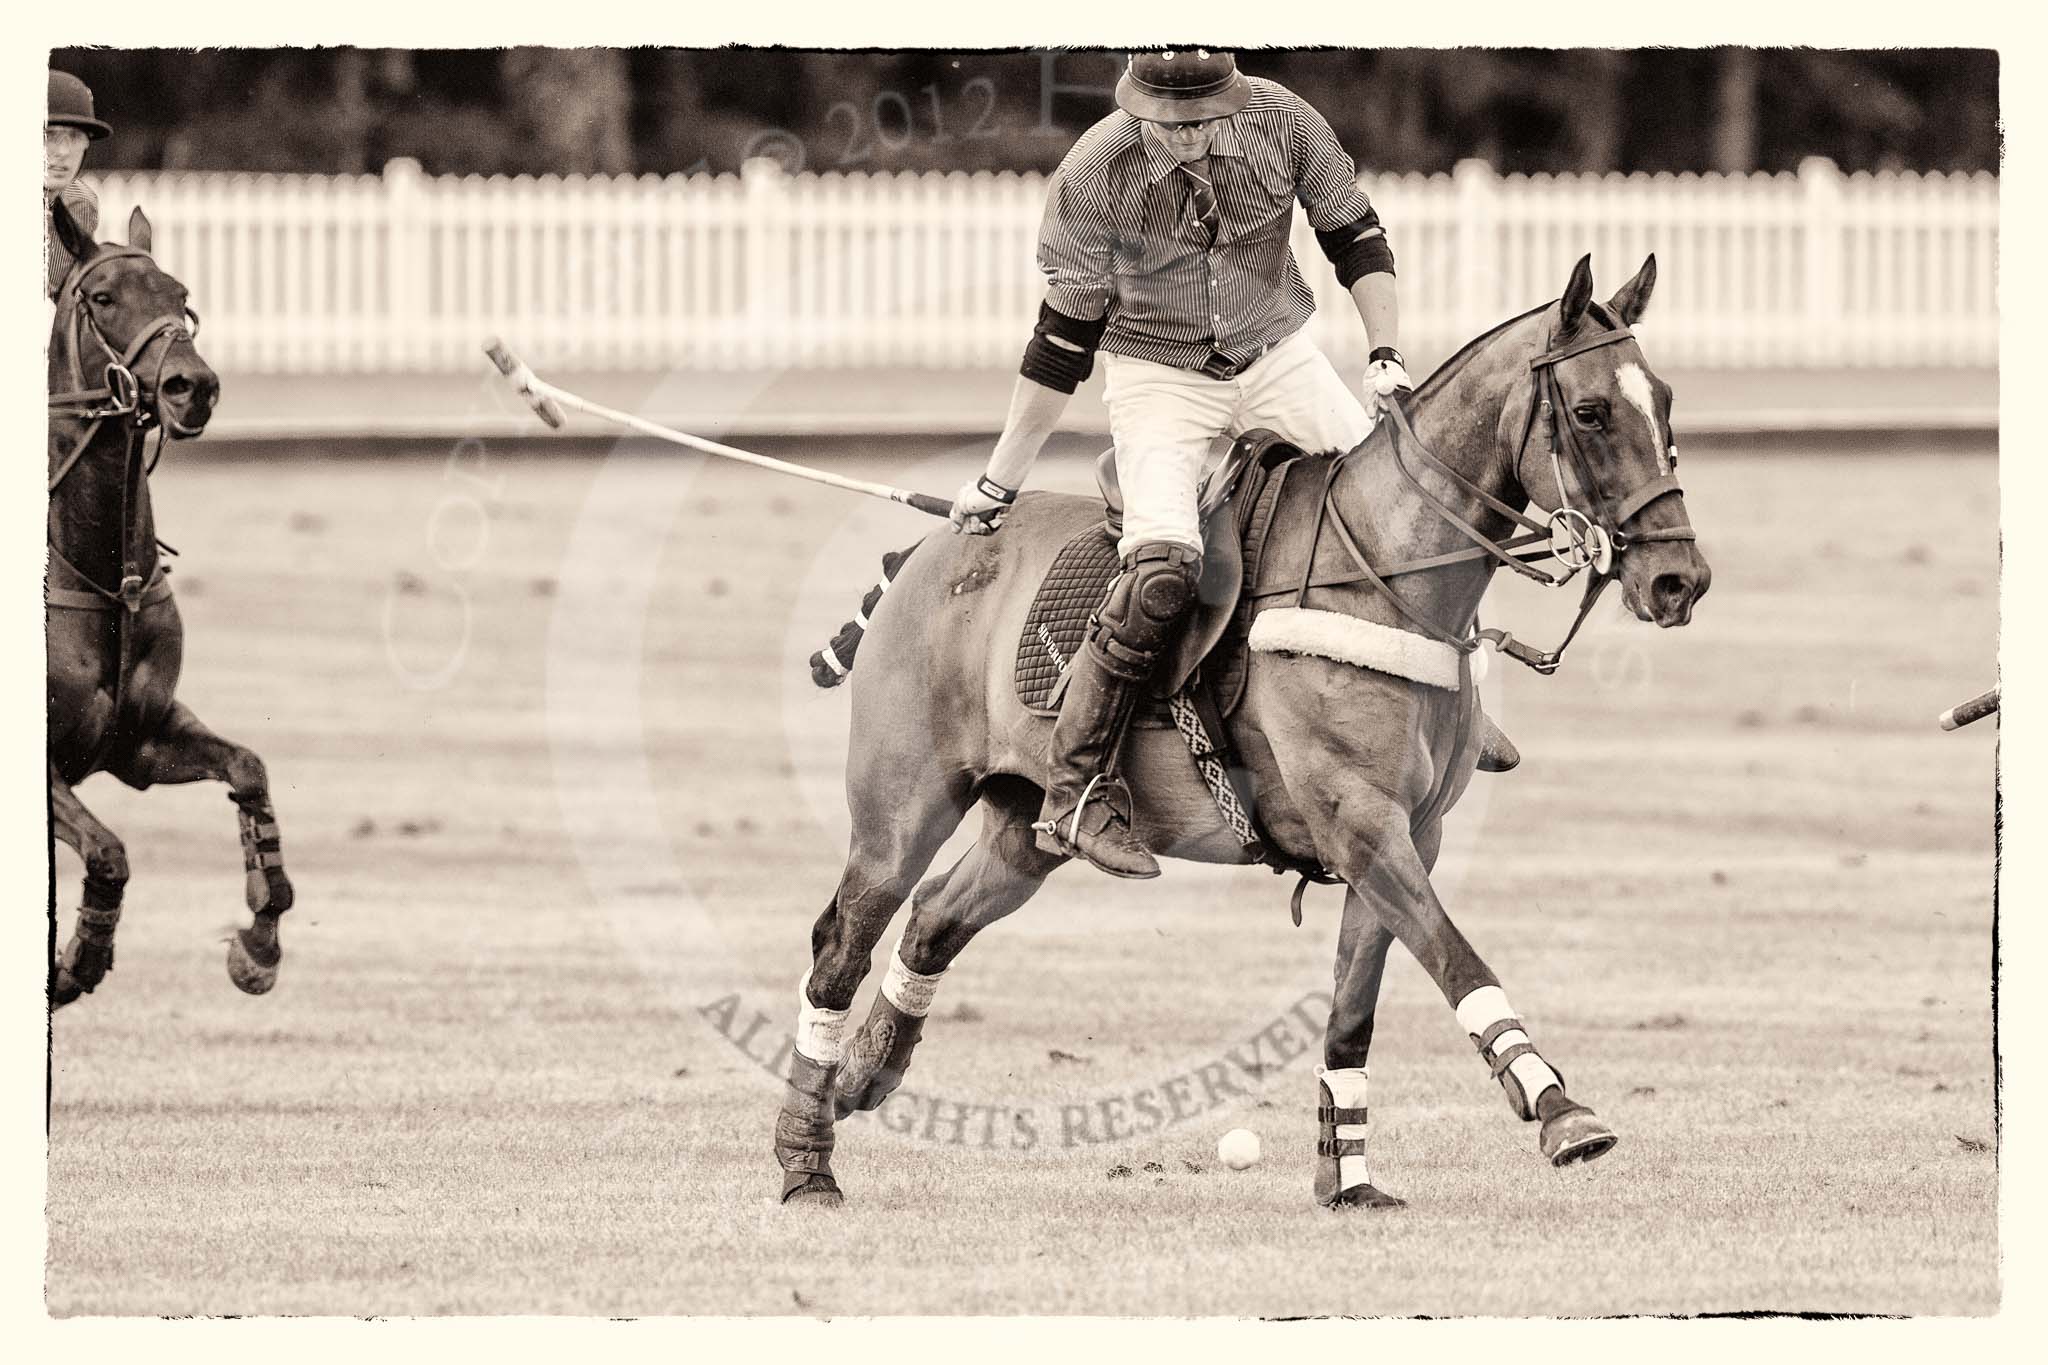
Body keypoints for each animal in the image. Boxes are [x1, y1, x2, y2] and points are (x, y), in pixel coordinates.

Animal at [45, 205, 292, 1015]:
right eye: (102, 298)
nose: (194, 386)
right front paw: (77, 962)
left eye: (180, 294)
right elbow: (109, 852)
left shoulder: (139, 744)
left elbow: (248, 767)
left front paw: (259, 943)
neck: (103, 575)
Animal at [774, 253, 1703, 1203]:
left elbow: (1352, 1010)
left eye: (1665, 402)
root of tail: (929, 549)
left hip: (1024, 825)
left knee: (935, 917)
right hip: (904, 804)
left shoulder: (1412, 832)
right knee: (842, 940)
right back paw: (807, 1160)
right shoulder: (1362, 821)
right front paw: (1561, 1110)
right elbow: (1457, 958)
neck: (1386, 574)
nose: (1680, 580)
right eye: (1590, 413)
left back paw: (866, 1074)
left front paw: (1350, 1178)